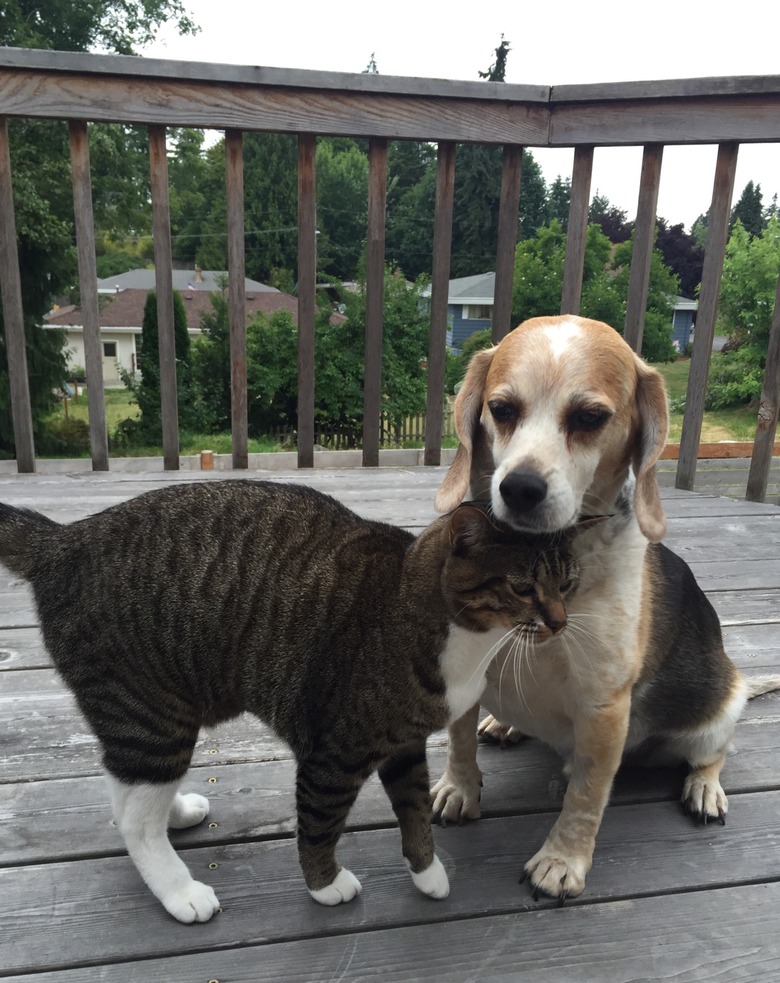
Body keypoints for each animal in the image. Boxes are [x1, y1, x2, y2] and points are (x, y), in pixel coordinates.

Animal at [0, 480, 580, 928]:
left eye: (569, 582)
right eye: (523, 587)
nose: (559, 622)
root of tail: (64, 538)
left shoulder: (404, 744)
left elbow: (414, 809)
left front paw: (427, 873)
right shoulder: (334, 753)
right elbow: (320, 822)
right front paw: (325, 884)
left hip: (145, 721)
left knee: (124, 790)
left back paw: (176, 811)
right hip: (149, 714)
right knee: (133, 820)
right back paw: (179, 890)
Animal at [432, 320, 780, 904]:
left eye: (589, 418)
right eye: (501, 409)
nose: (519, 487)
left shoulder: (602, 709)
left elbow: (586, 797)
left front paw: (562, 860)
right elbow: (458, 745)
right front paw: (460, 788)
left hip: (716, 714)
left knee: (713, 753)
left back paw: (704, 787)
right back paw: (506, 724)